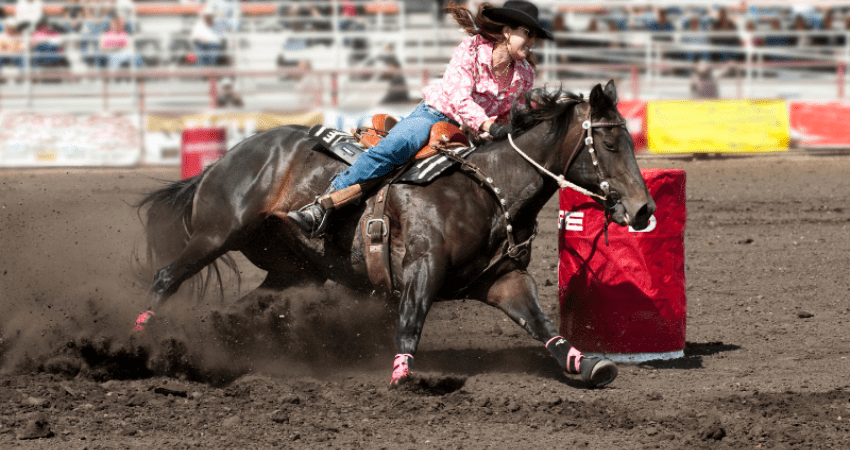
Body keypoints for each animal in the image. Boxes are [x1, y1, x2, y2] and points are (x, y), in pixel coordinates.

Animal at [136, 80, 652, 386]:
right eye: (609, 142)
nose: (643, 208)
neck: (489, 188)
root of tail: (228, 156)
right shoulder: (422, 267)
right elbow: (411, 321)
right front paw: (404, 375)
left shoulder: (504, 279)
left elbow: (542, 324)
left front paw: (586, 363)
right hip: (216, 232)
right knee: (165, 277)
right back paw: (141, 336)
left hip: (292, 270)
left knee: (243, 306)